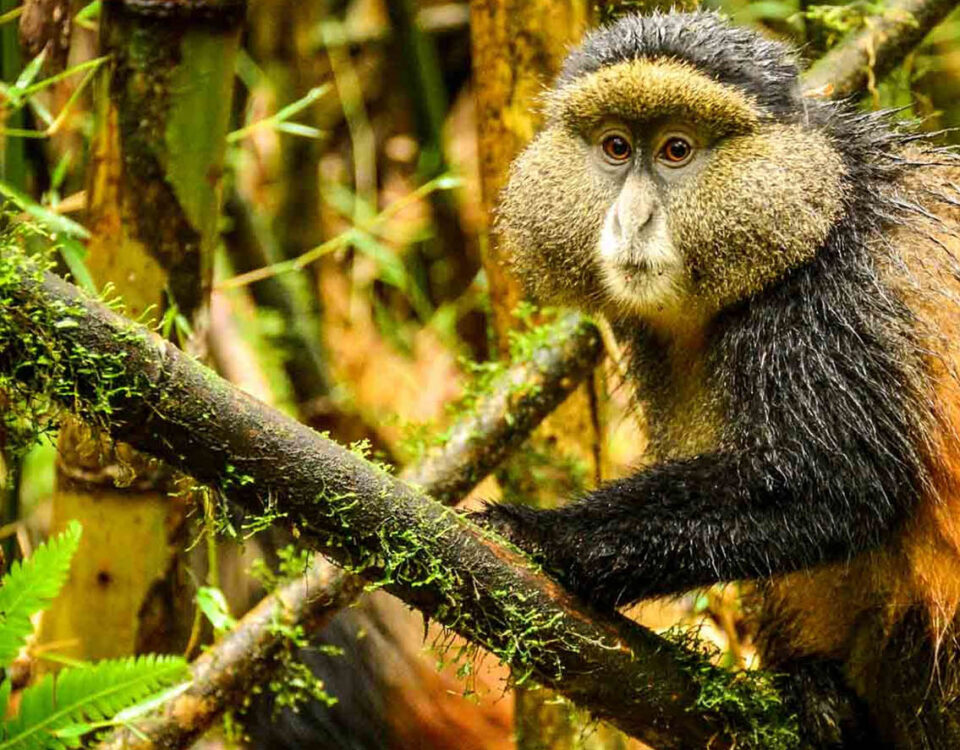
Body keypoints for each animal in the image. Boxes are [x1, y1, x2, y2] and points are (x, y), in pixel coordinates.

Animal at [477, 10, 960, 748]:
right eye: (616, 147)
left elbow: (838, 480)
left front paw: (541, 536)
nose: (632, 219)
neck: (818, 203)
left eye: (677, 150)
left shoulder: (833, 297)